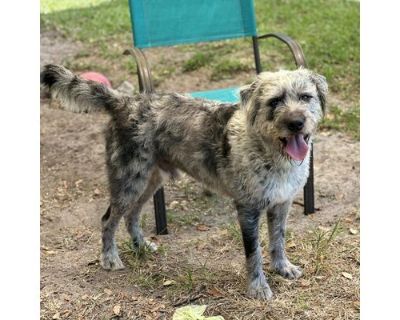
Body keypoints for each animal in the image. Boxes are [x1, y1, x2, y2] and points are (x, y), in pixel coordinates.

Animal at [41, 65, 328, 300]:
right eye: (274, 101)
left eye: (305, 97)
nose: (296, 123)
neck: (266, 149)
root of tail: (125, 102)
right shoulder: (248, 210)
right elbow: (253, 253)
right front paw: (258, 288)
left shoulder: (281, 204)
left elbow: (278, 240)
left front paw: (283, 268)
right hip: (128, 181)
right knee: (108, 219)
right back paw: (109, 258)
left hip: (150, 181)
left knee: (132, 215)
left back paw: (141, 246)